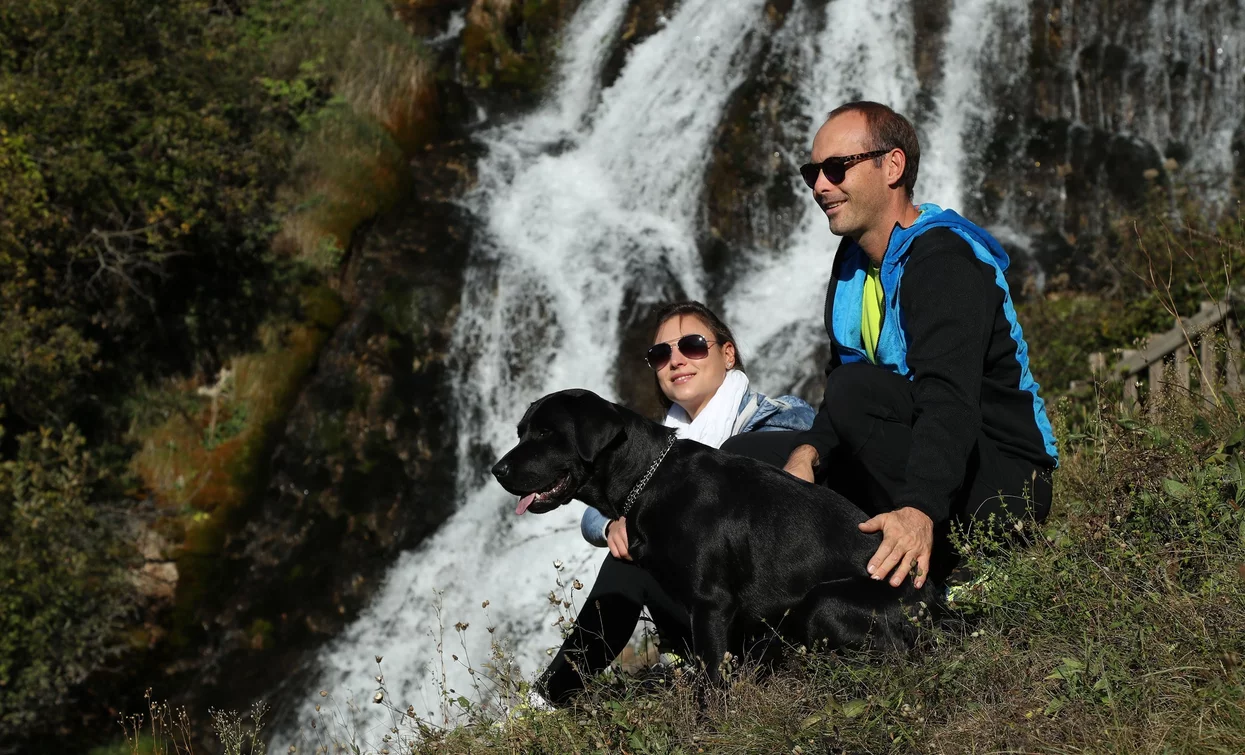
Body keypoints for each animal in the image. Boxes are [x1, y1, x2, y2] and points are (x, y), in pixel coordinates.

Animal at [490, 391, 931, 682]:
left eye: (546, 433)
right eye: (521, 431)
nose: (497, 470)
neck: (648, 478)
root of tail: (935, 604)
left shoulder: (711, 603)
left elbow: (712, 681)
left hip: (825, 603)